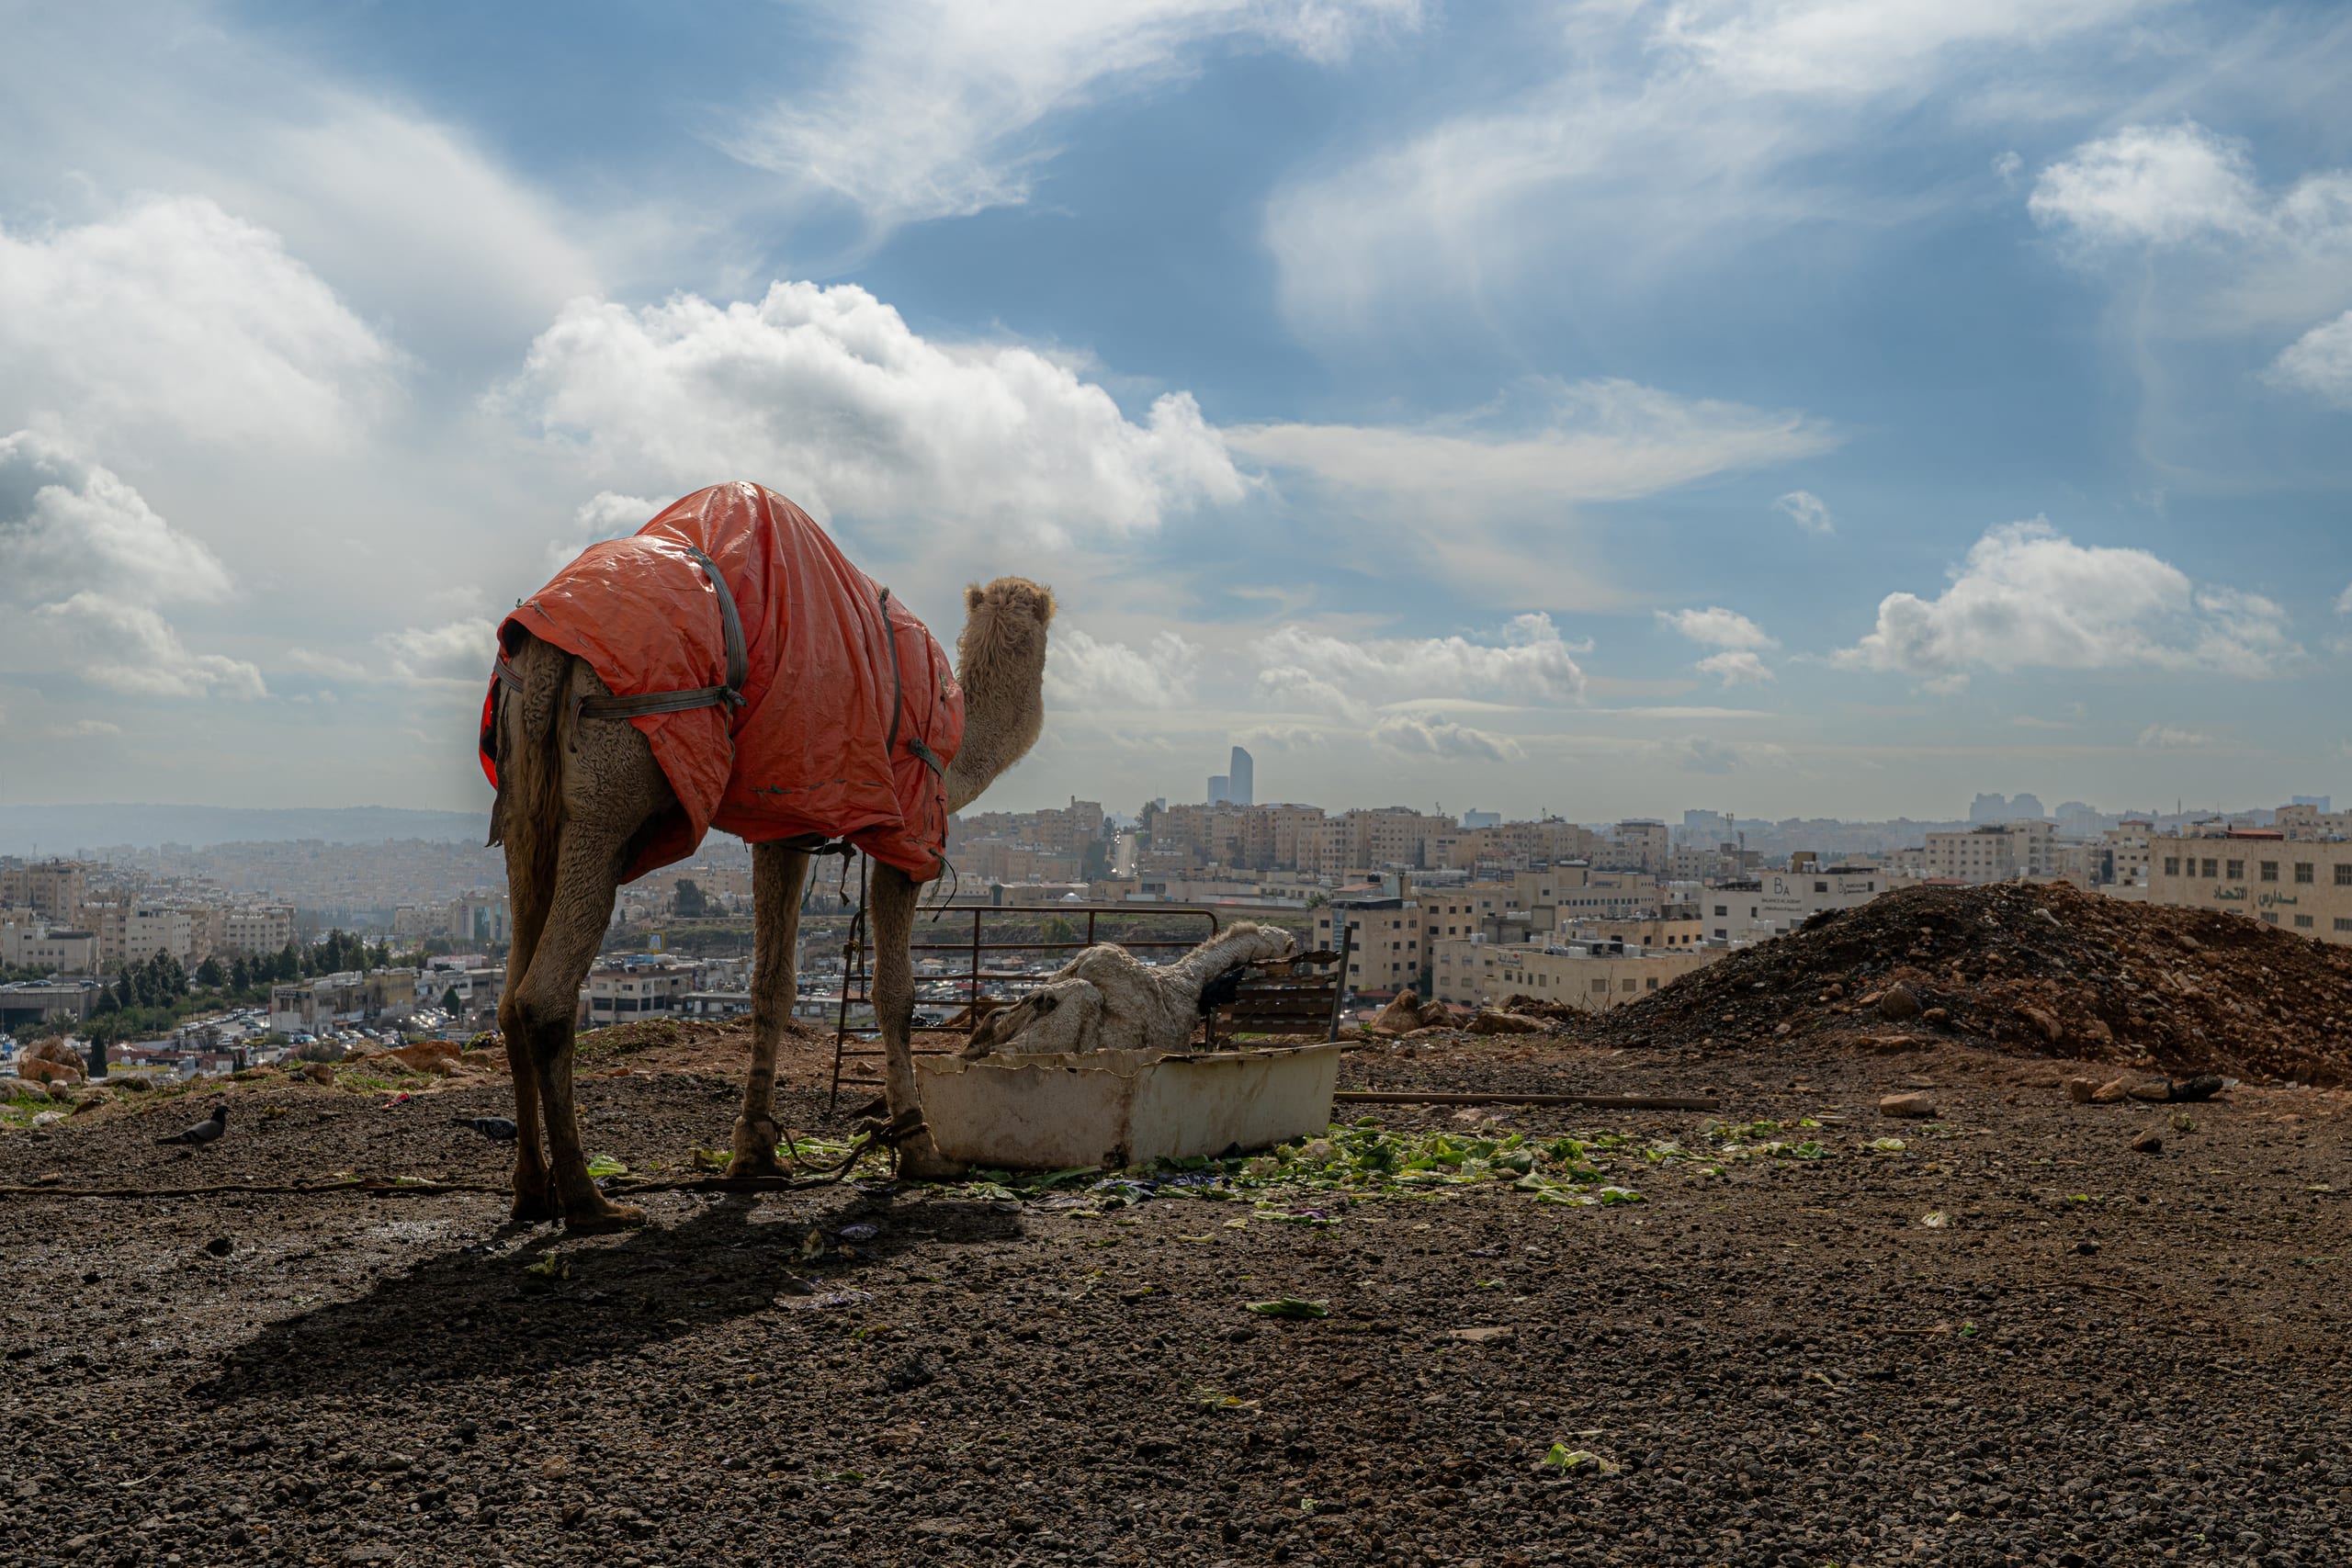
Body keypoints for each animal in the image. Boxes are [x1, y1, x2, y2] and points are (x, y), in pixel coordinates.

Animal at [489, 562, 1052, 1231]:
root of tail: (548, 646)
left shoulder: (783, 823)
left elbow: (772, 984)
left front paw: (754, 1153)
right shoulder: (910, 832)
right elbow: (895, 993)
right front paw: (920, 1149)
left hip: (525, 798)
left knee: (509, 993)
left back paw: (530, 1191)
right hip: (613, 773)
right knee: (545, 994)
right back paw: (590, 1200)